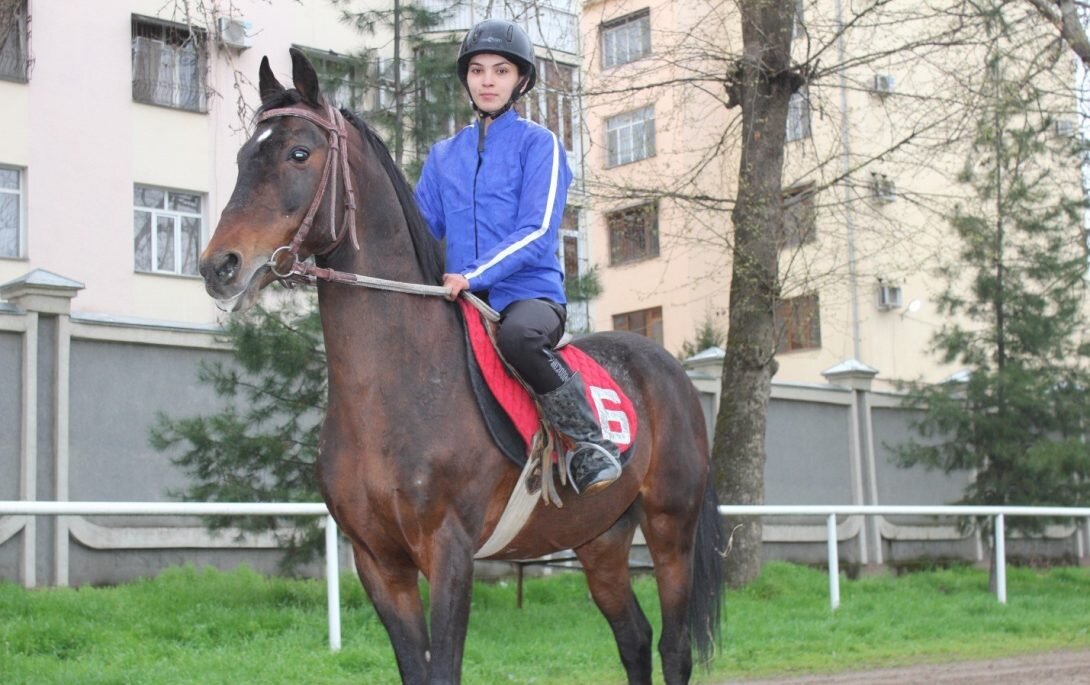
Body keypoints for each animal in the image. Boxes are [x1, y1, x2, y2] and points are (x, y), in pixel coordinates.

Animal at [198, 49, 723, 685]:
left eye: (299, 152)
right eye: (244, 157)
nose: (219, 266)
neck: (398, 387)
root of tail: (668, 367)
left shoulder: (449, 553)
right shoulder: (378, 562)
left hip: (671, 528)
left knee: (673, 646)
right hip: (599, 538)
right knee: (634, 638)